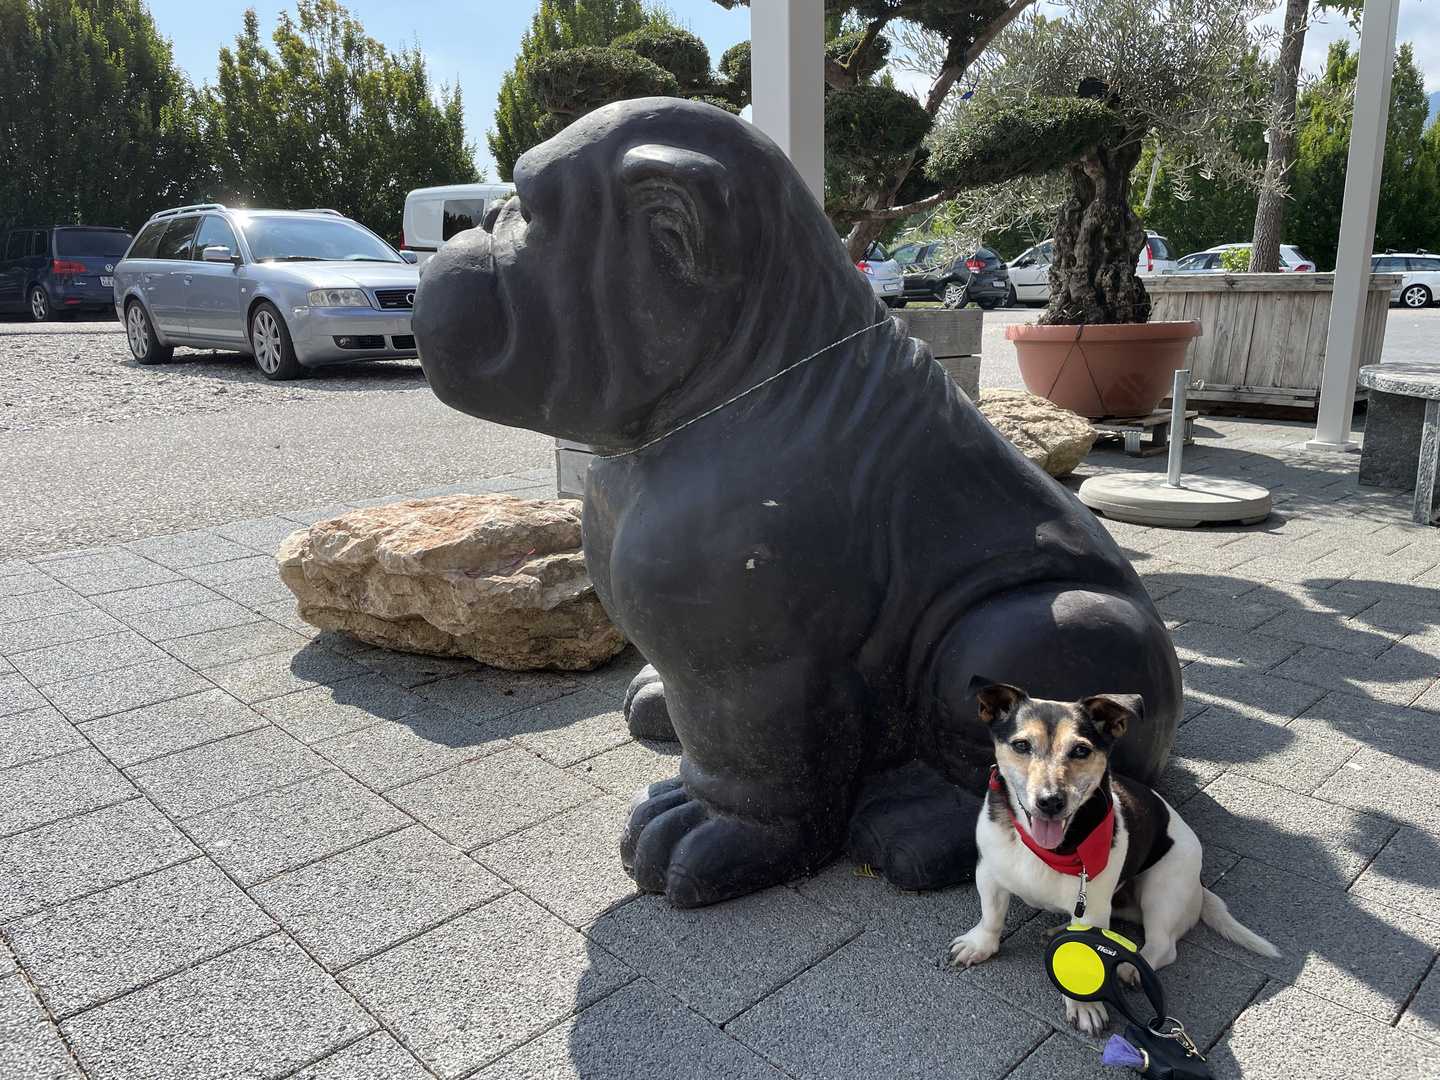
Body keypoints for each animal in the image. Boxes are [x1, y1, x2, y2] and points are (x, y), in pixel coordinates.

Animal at [950, 688, 1278, 1036]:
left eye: (1081, 750)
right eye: (1021, 745)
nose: (1050, 801)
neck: (1044, 847)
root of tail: (1200, 888)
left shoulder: (1093, 904)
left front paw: (1085, 1005)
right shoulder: (989, 874)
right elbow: (992, 917)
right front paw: (980, 944)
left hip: (1164, 890)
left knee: (1162, 945)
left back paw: (1132, 970)